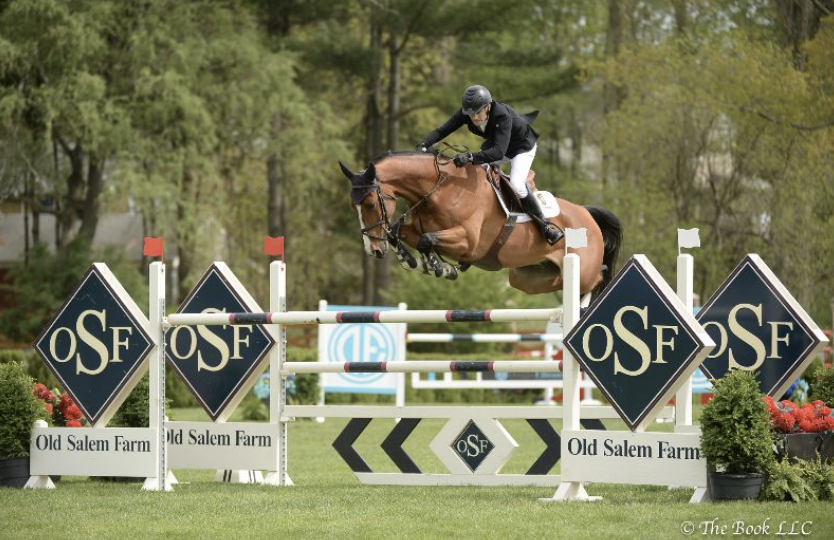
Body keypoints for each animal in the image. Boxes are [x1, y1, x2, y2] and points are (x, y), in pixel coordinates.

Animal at [339, 151, 622, 298]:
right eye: (352, 206)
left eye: (370, 205)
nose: (373, 250)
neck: (440, 189)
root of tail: (587, 215)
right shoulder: (418, 229)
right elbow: (400, 234)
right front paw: (417, 263)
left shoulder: (468, 241)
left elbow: (426, 240)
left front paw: (440, 268)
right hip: (526, 278)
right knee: (553, 283)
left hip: (581, 268)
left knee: (597, 275)